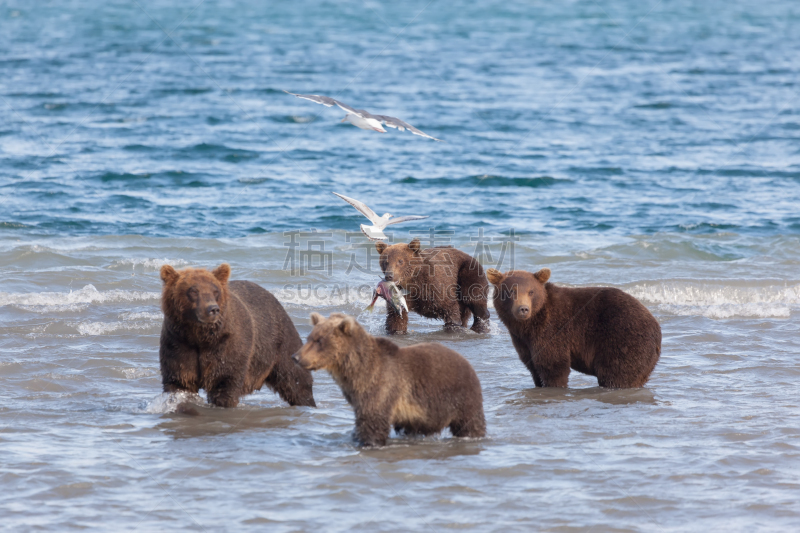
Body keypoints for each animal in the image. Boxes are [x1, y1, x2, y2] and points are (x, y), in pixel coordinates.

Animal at [159, 262, 316, 408]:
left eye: (215, 291)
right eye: (193, 291)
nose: (213, 309)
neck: (200, 336)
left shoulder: (226, 345)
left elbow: (224, 381)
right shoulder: (178, 343)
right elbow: (179, 382)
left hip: (280, 342)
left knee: (296, 381)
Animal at [290, 312, 484, 444]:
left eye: (319, 341)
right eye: (310, 337)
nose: (296, 357)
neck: (356, 371)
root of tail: (467, 362)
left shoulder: (382, 384)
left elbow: (373, 421)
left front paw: (368, 442)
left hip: (460, 397)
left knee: (471, 423)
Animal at [488, 266, 664, 386]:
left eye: (531, 292)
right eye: (511, 291)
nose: (523, 309)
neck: (528, 326)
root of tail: (657, 328)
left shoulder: (552, 331)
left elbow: (553, 365)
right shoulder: (524, 342)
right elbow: (533, 367)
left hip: (623, 339)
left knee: (616, 374)